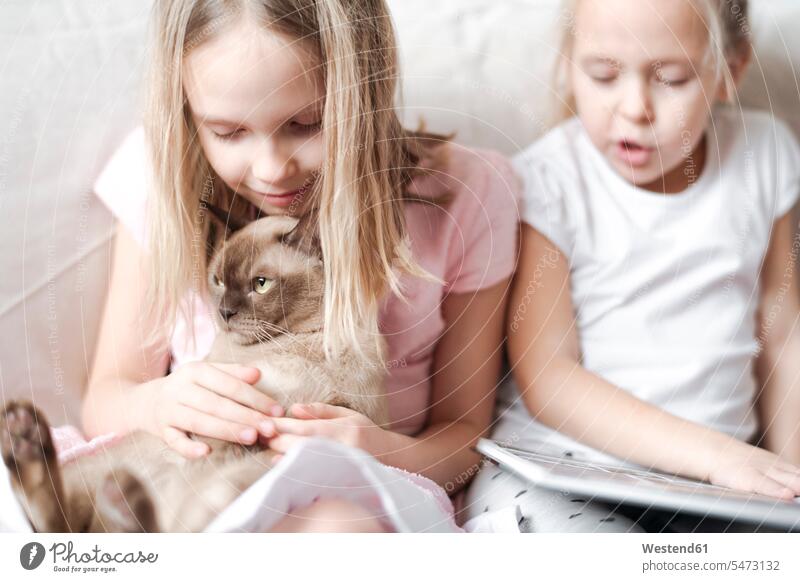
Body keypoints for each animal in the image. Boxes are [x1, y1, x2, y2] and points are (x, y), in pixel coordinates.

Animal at [0, 210, 388, 532]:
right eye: (218, 281)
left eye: (260, 284)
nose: (224, 312)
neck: (302, 343)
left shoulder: (340, 412)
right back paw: (27, 438)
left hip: (233, 486)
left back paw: (116, 501)